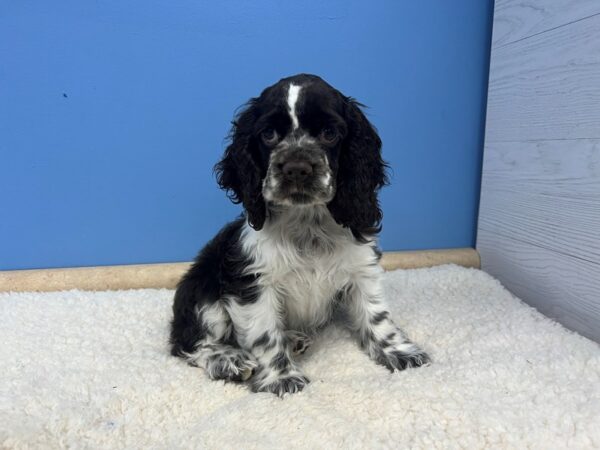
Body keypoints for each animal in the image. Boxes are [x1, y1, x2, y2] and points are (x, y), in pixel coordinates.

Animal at [171, 72, 428, 396]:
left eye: (329, 133)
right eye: (268, 134)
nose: (296, 168)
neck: (307, 223)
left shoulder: (362, 267)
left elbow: (376, 314)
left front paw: (398, 352)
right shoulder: (252, 282)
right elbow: (265, 334)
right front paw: (281, 378)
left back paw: (291, 339)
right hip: (203, 293)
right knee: (189, 344)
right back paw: (228, 360)